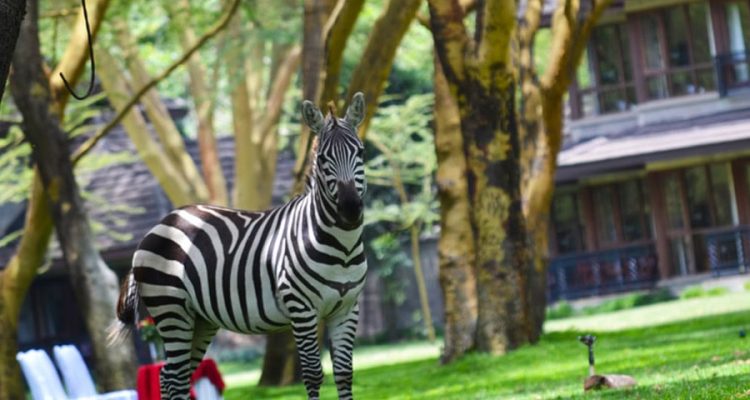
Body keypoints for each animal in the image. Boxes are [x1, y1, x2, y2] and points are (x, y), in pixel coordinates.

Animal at [109, 93, 368, 400]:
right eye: (322, 158)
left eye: (361, 152)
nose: (350, 209)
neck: (343, 248)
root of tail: (160, 224)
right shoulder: (301, 309)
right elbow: (314, 375)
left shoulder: (347, 309)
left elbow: (344, 374)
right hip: (172, 310)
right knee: (172, 377)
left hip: (200, 319)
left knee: (174, 377)